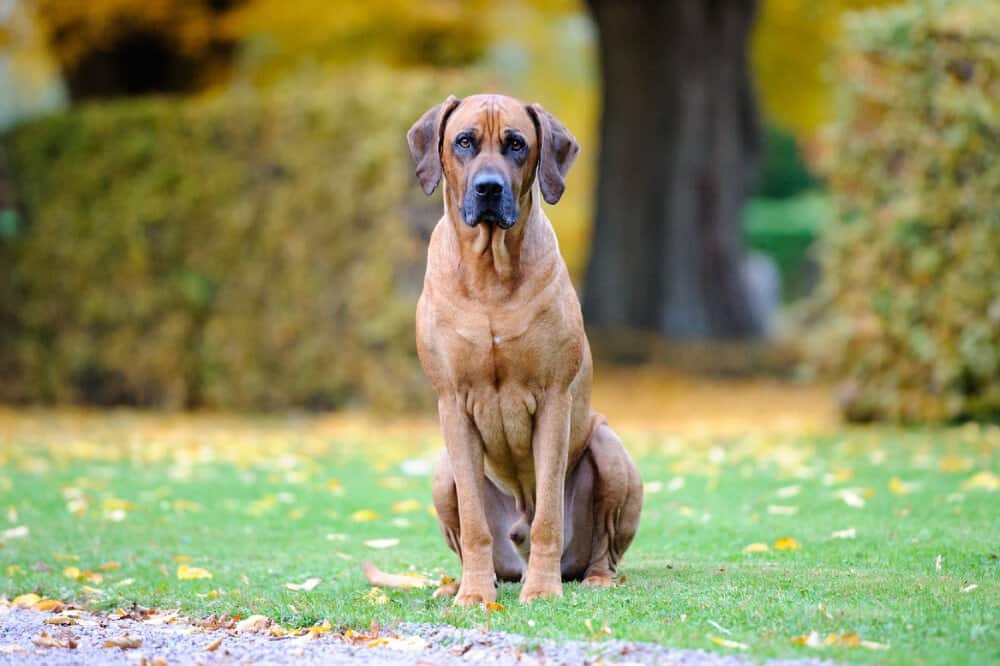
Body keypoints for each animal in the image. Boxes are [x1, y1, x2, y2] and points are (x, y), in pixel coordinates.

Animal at [406, 94, 640, 608]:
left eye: (516, 144)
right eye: (464, 141)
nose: (489, 189)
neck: (491, 272)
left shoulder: (553, 400)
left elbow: (549, 514)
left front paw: (543, 589)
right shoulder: (453, 403)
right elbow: (474, 523)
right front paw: (474, 594)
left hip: (608, 447)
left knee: (603, 548)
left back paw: (591, 577)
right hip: (442, 469)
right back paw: (464, 582)